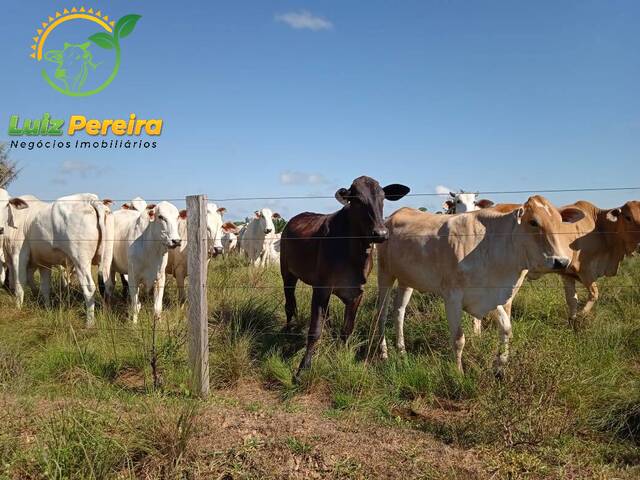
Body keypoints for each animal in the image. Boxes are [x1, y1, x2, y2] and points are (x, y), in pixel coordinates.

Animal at [282, 176, 410, 376]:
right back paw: (288, 330)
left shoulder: (357, 292)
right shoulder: (322, 288)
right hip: (287, 273)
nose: (380, 233)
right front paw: (303, 368)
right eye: (356, 200)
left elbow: (347, 329)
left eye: (383, 198)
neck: (353, 252)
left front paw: (340, 355)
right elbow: (314, 330)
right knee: (289, 305)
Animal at [376, 195, 584, 372]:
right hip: (385, 274)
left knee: (399, 311)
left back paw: (402, 351)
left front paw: (501, 364)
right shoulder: (452, 297)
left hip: (406, 280)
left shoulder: (491, 294)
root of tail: (394, 215)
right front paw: (458, 373)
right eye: (533, 222)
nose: (561, 261)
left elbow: (506, 329)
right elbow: (458, 339)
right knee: (382, 313)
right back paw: (384, 354)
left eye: (559, 222)